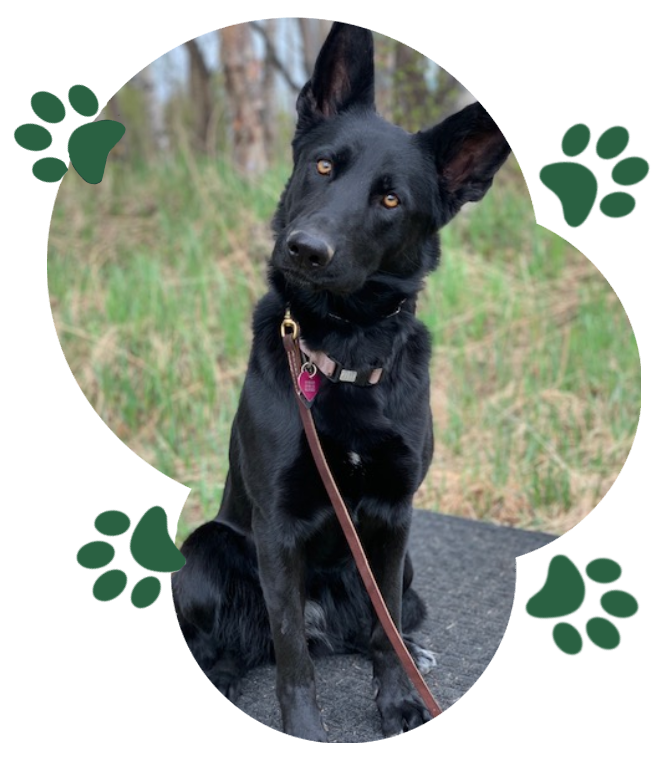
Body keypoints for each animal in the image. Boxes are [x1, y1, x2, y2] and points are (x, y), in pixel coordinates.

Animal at [171, 20, 510, 740]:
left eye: (390, 199)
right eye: (323, 166)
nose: (305, 249)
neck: (344, 354)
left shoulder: (391, 516)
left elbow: (382, 634)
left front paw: (399, 700)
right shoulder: (277, 528)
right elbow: (291, 656)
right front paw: (305, 725)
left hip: (404, 568)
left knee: (380, 625)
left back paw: (411, 650)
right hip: (209, 548)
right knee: (243, 643)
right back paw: (224, 671)